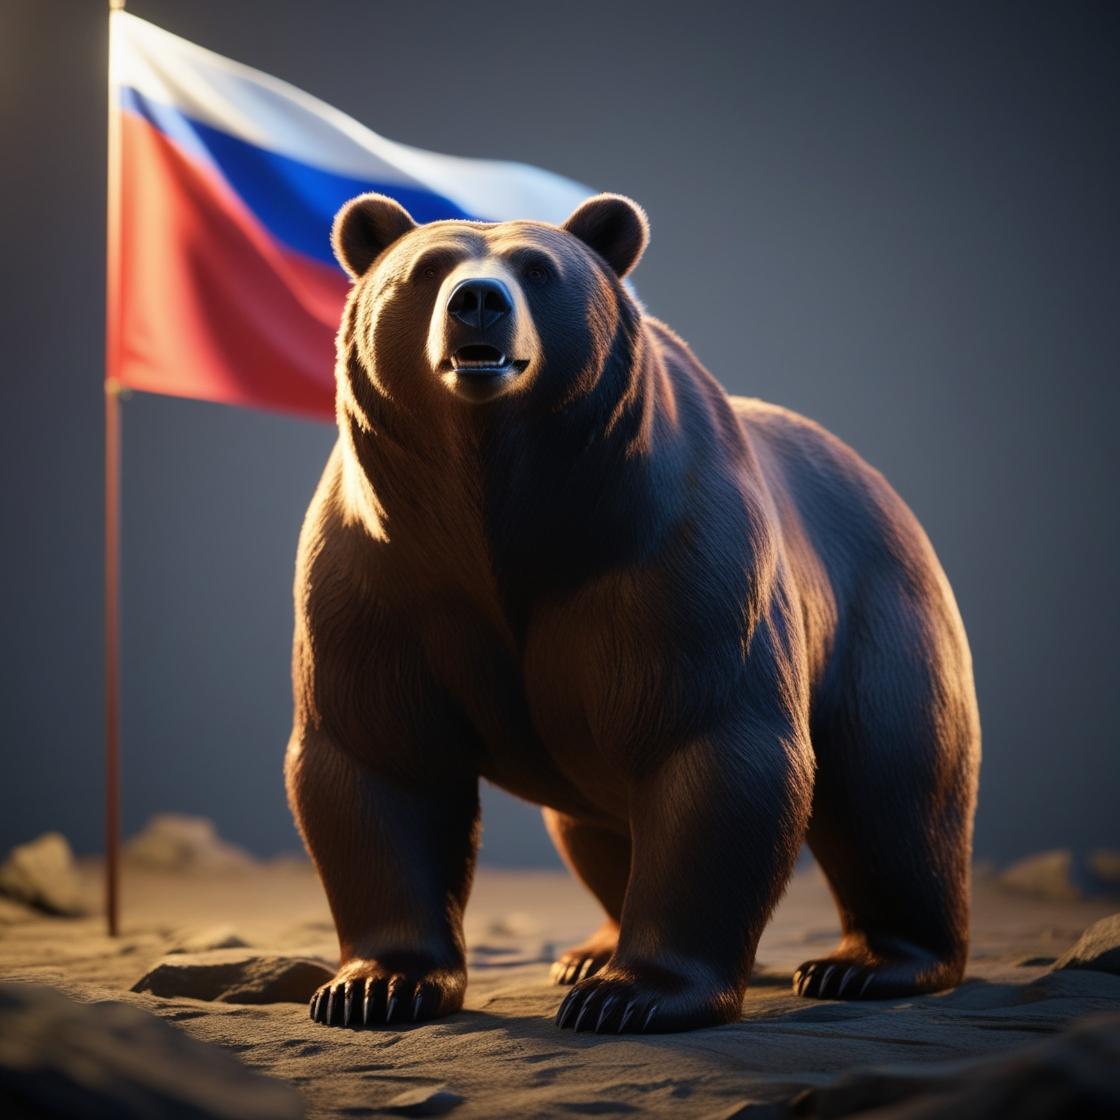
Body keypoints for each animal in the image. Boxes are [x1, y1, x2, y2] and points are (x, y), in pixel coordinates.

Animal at [285, 191, 981, 1034]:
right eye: (426, 269)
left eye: (536, 269)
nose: (477, 301)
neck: (499, 510)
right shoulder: (378, 576)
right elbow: (381, 759)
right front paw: (373, 986)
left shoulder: (678, 561)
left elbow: (711, 746)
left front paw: (632, 995)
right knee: (597, 826)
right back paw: (590, 949)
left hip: (881, 617)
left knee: (895, 791)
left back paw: (868, 963)